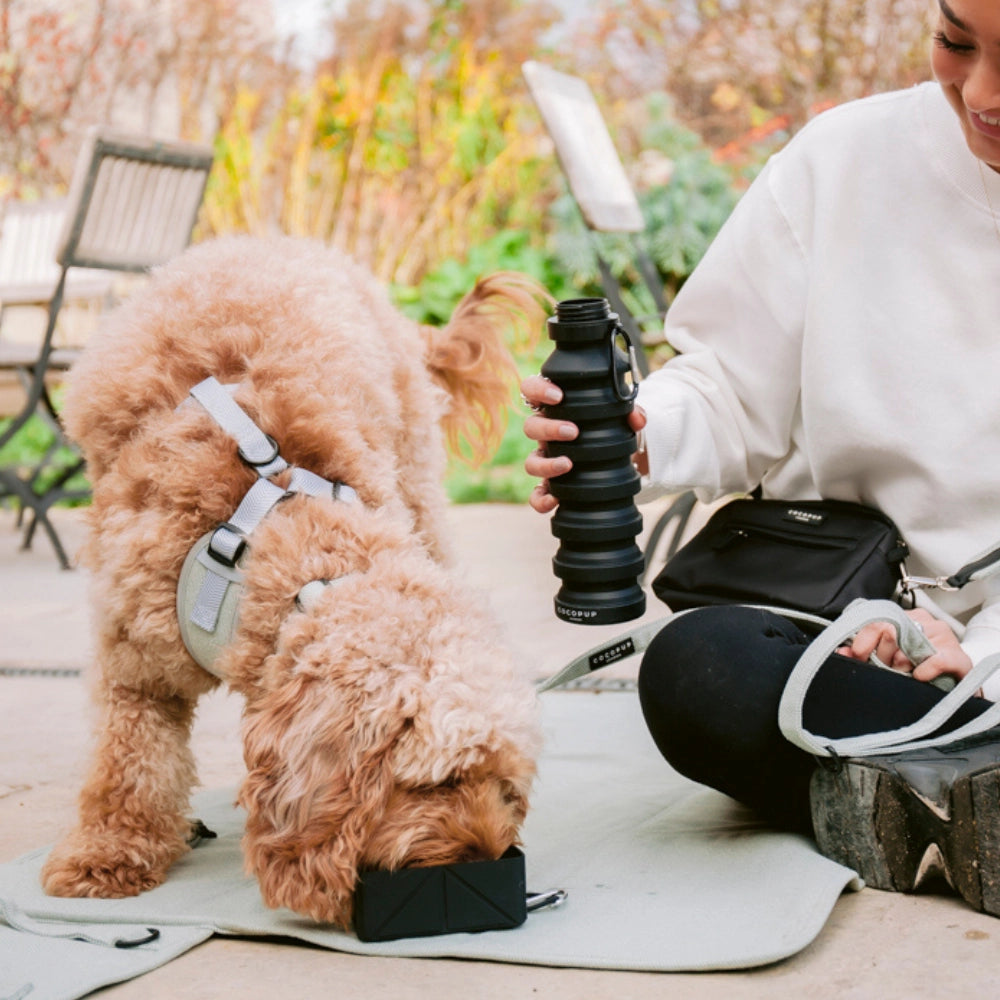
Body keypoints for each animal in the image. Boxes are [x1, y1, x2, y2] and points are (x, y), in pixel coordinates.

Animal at [43, 238, 548, 924]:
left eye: (505, 784)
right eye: (437, 782)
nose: (488, 859)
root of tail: (274, 243)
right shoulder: (135, 663)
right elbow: (129, 762)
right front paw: (108, 854)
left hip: (415, 476)